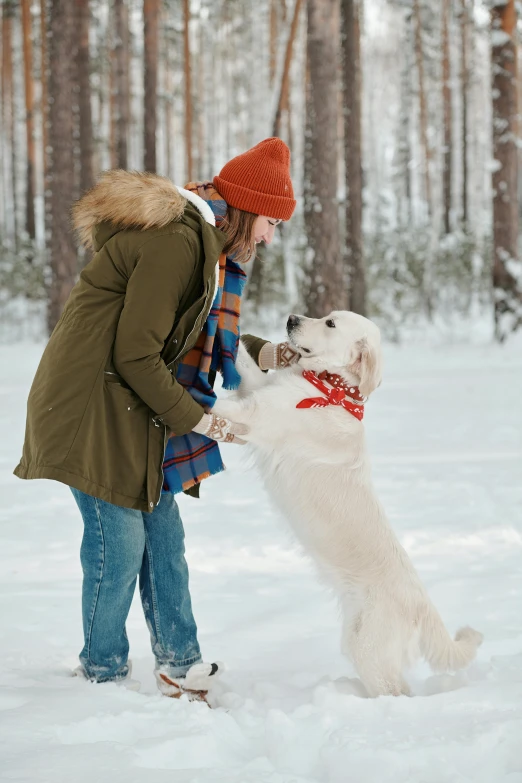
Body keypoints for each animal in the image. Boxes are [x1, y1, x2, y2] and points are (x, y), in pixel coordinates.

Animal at [213, 312, 482, 700]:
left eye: (330, 324)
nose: (291, 317)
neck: (331, 387)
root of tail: (422, 605)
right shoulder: (256, 391)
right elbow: (246, 363)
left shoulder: (255, 414)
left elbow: (214, 405)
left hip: (366, 648)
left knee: (396, 693)